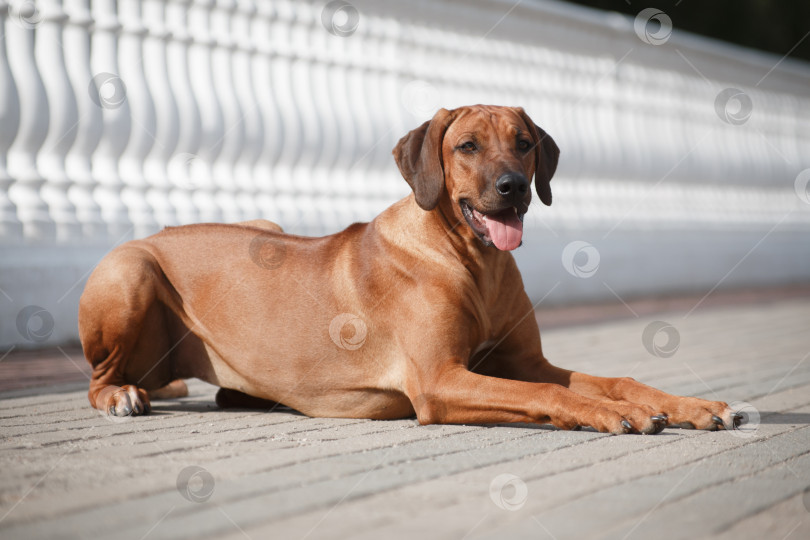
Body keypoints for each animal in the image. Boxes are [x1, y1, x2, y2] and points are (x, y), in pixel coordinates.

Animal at [80, 105, 740, 434]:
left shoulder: (523, 360)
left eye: (524, 143)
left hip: (263, 226)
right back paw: (122, 395)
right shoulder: (439, 380)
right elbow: (548, 393)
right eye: (467, 146)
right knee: (97, 378)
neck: (475, 262)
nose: (514, 187)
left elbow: (604, 378)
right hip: (131, 271)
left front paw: (692, 404)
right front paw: (613, 414)